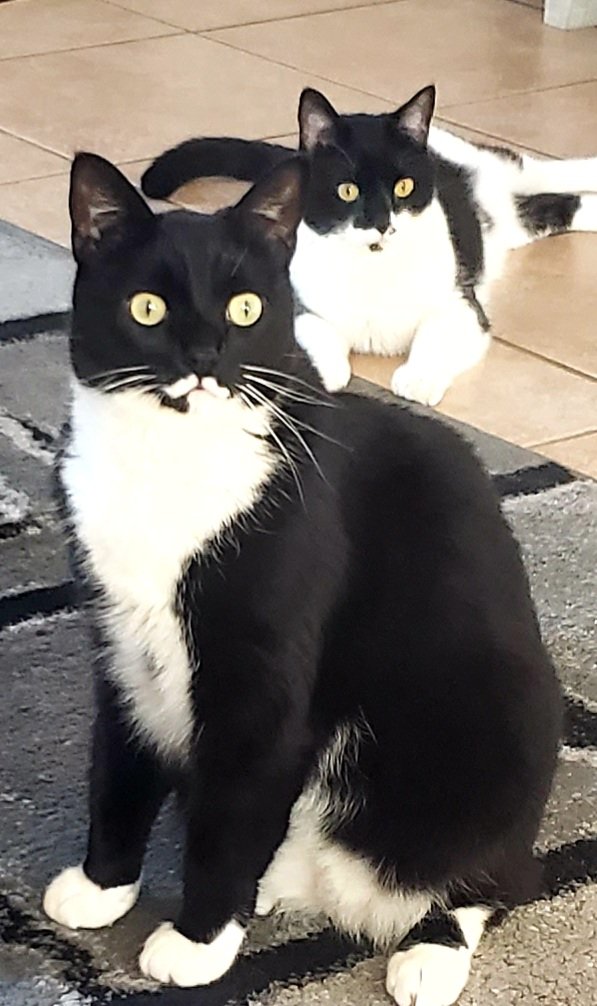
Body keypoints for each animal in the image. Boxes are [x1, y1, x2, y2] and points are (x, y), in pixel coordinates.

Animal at [44, 150, 559, 1006]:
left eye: (247, 306)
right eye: (147, 308)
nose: (203, 358)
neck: (166, 463)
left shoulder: (261, 673)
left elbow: (232, 810)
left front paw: (198, 939)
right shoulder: (118, 641)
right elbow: (118, 761)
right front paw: (101, 885)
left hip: (491, 738)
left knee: (492, 875)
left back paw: (427, 954)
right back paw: (279, 884)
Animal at [142, 82, 595, 404]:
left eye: (403, 186)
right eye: (347, 191)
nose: (380, 222)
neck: (374, 269)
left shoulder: (460, 305)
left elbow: (436, 335)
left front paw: (418, 379)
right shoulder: (298, 306)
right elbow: (323, 347)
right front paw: (324, 374)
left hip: (494, 166)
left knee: (539, 168)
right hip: (513, 223)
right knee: (557, 207)